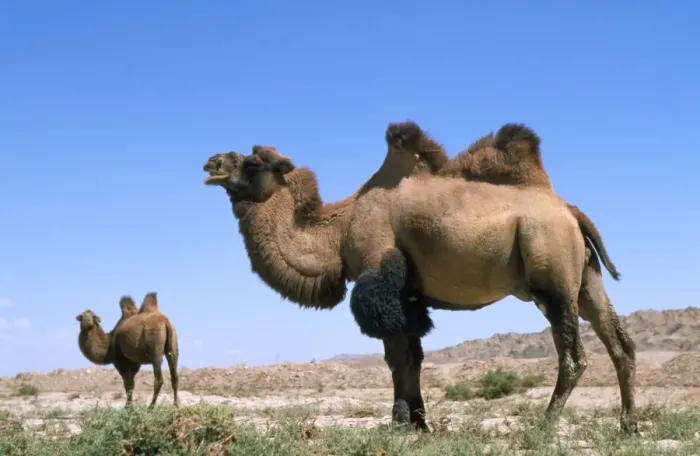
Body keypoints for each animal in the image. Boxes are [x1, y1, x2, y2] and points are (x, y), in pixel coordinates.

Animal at [381, 120, 636, 433]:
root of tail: (571, 212)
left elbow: (399, 355)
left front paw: (402, 423)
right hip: (588, 277)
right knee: (621, 343)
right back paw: (629, 426)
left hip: (555, 277)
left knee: (574, 357)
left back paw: (545, 424)